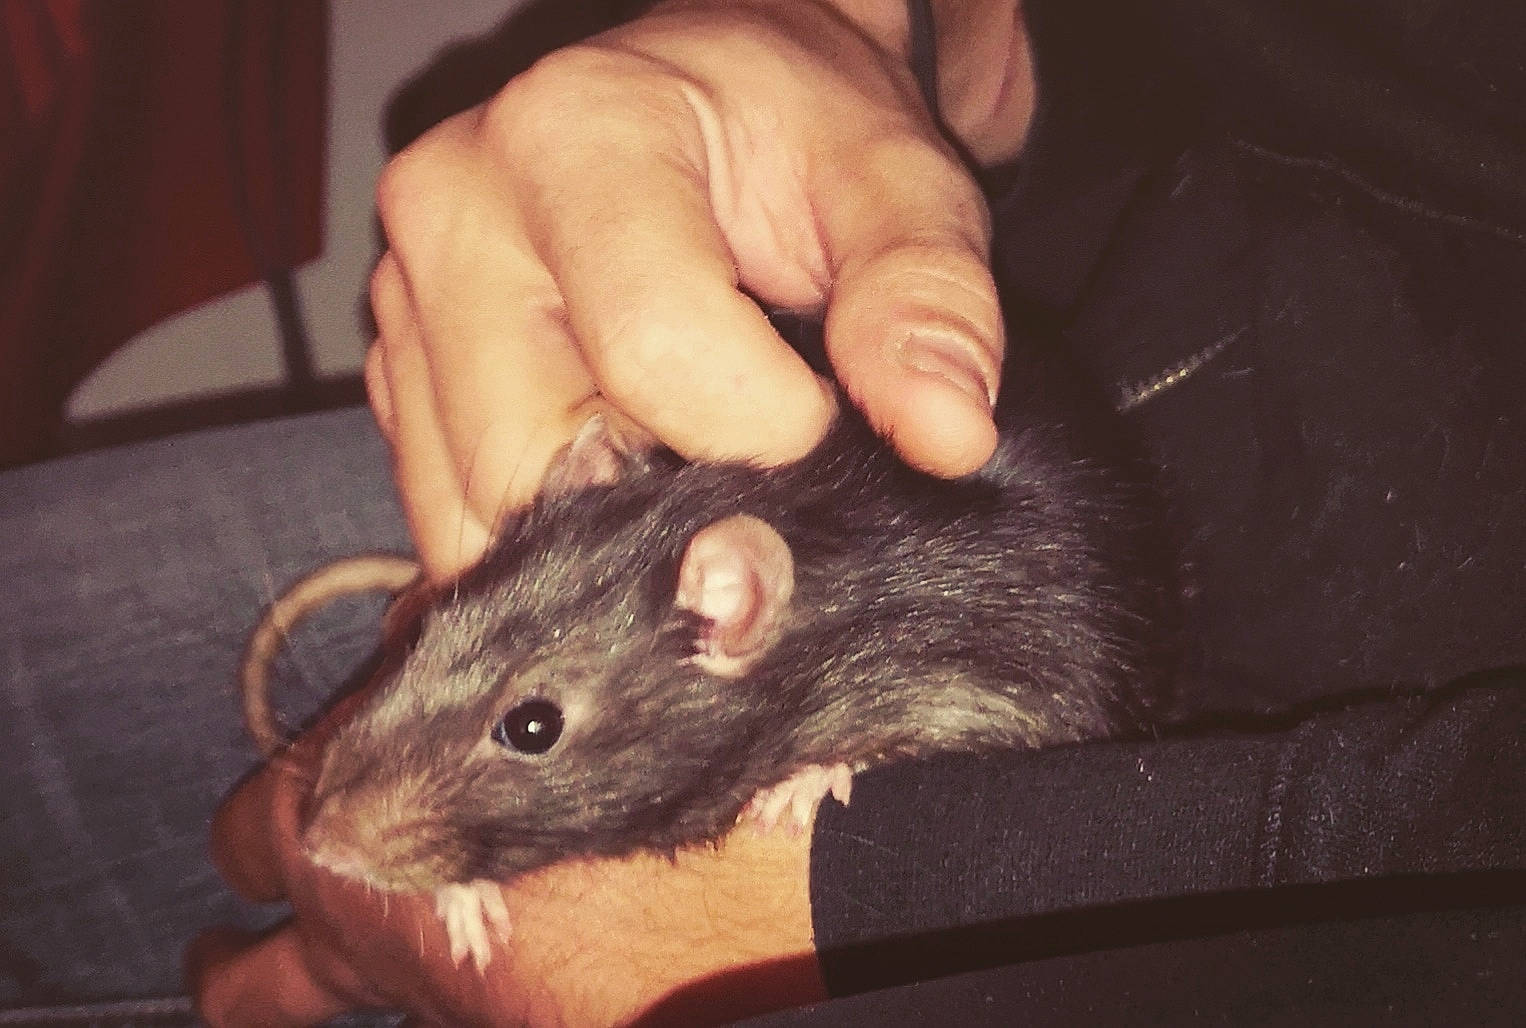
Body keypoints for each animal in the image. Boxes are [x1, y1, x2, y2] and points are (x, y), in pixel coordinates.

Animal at [289, 342, 1176, 969]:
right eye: (421, 633)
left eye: (532, 727)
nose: (318, 840)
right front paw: (463, 895)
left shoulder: (1007, 652)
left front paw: (811, 779)